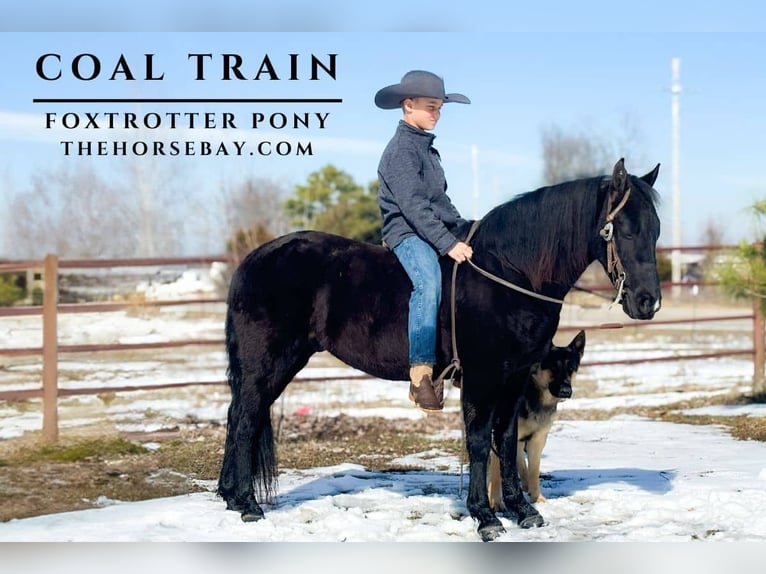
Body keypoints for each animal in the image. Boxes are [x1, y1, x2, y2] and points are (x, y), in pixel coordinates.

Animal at [217, 158, 662, 541]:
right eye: (624, 230)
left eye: (655, 230)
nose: (648, 302)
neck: (509, 274)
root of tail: (253, 259)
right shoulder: (483, 377)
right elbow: (480, 442)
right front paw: (485, 517)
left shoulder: (514, 377)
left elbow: (506, 441)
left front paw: (522, 511)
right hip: (268, 363)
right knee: (245, 421)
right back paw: (248, 505)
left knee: (238, 416)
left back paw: (230, 497)